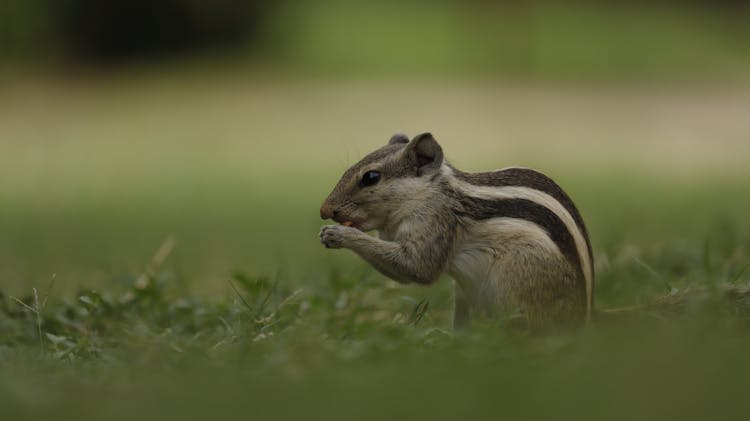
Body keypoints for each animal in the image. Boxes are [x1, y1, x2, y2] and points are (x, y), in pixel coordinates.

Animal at [318, 132, 592, 328]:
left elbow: (417, 266)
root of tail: (583, 316)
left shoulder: (436, 222)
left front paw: (339, 234)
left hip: (517, 283)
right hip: (464, 295)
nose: (324, 210)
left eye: (371, 177)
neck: (425, 194)